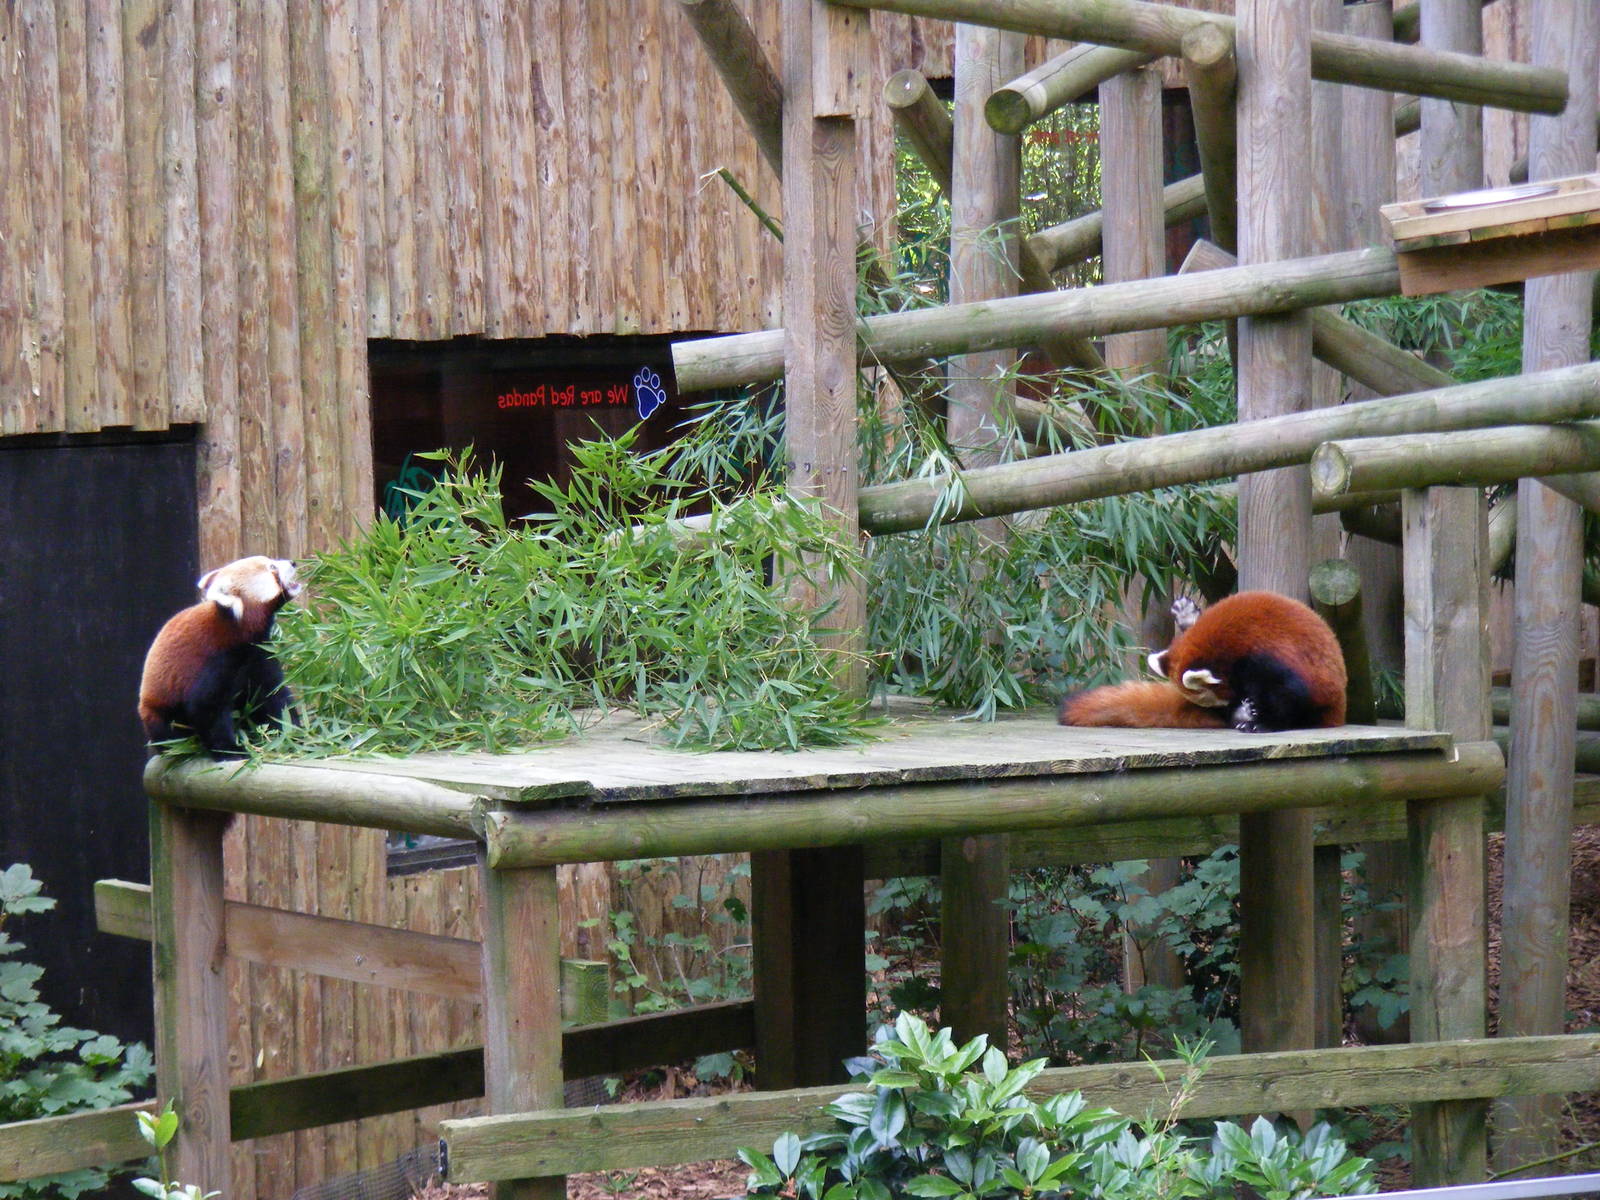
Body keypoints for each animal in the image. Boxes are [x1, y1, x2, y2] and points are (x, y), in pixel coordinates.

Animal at [137, 555, 302, 756]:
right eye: (272, 567)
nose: (293, 563)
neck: (236, 630)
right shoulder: (214, 662)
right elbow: (207, 708)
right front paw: (231, 750)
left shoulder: (260, 655)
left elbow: (274, 695)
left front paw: (294, 733)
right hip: (158, 711)